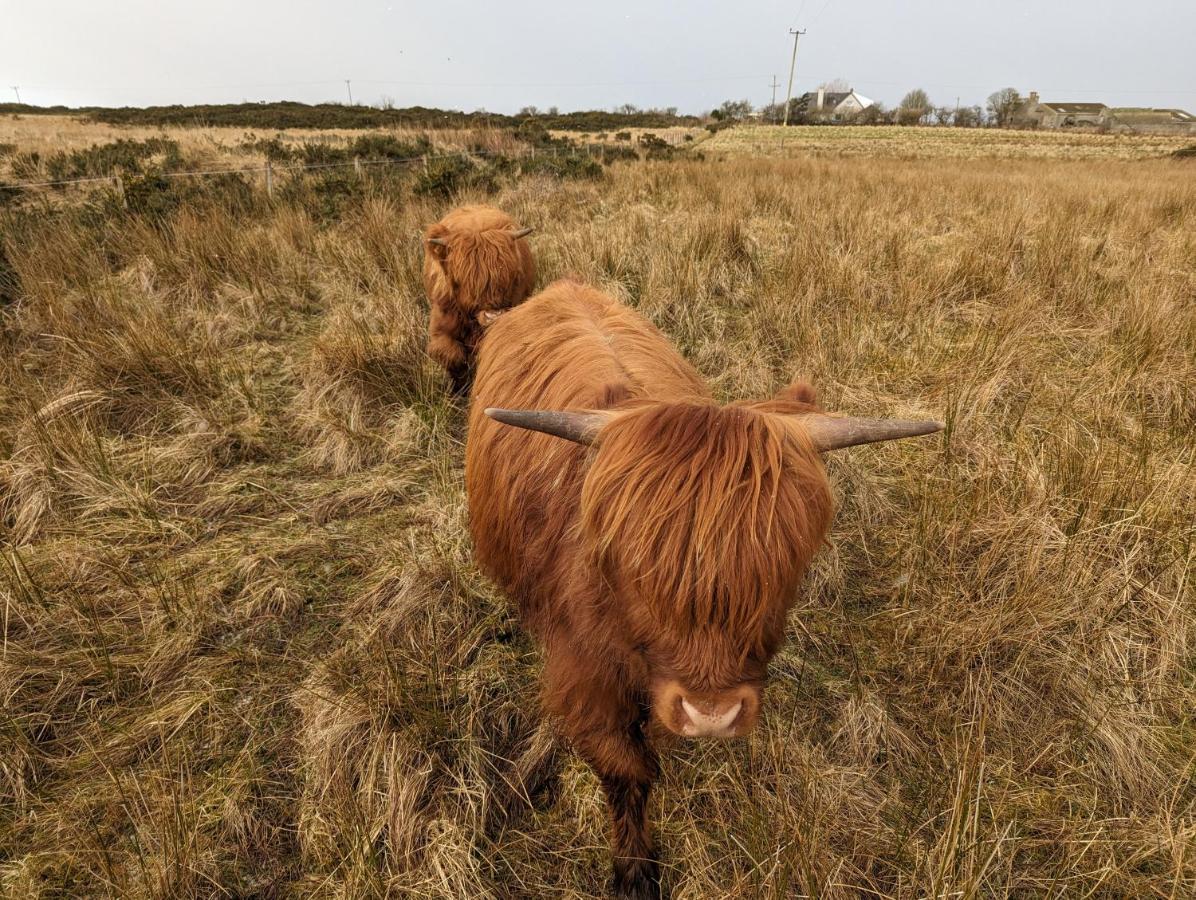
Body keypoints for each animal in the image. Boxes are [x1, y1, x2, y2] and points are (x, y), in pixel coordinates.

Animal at [420, 204, 533, 392]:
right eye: (460, 281)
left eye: (513, 277)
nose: (494, 317)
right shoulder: (441, 324)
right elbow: (452, 356)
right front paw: (459, 389)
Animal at [466, 277, 942, 894]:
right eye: (629, 566)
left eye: (785, 569)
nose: (711, 714)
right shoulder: (584, 674)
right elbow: (626, 769)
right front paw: (634, 869)